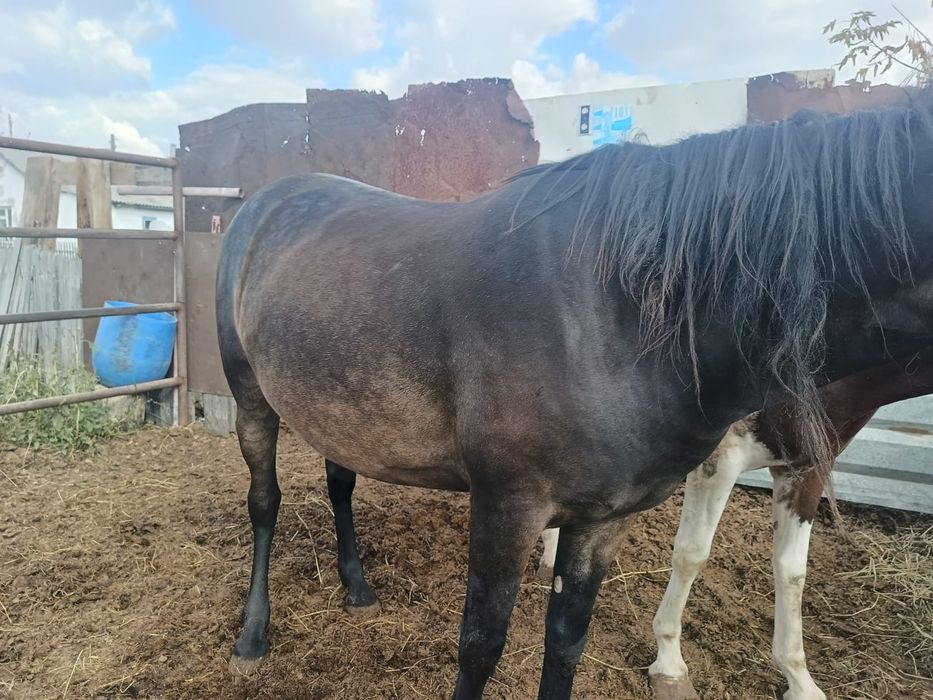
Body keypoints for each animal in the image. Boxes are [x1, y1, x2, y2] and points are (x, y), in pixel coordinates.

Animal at [537, 347, 933, 700]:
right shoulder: (724, 455)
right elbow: (692, 554)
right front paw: (669, 664)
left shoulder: (808, 466)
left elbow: (792, 571)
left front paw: (799, 680)